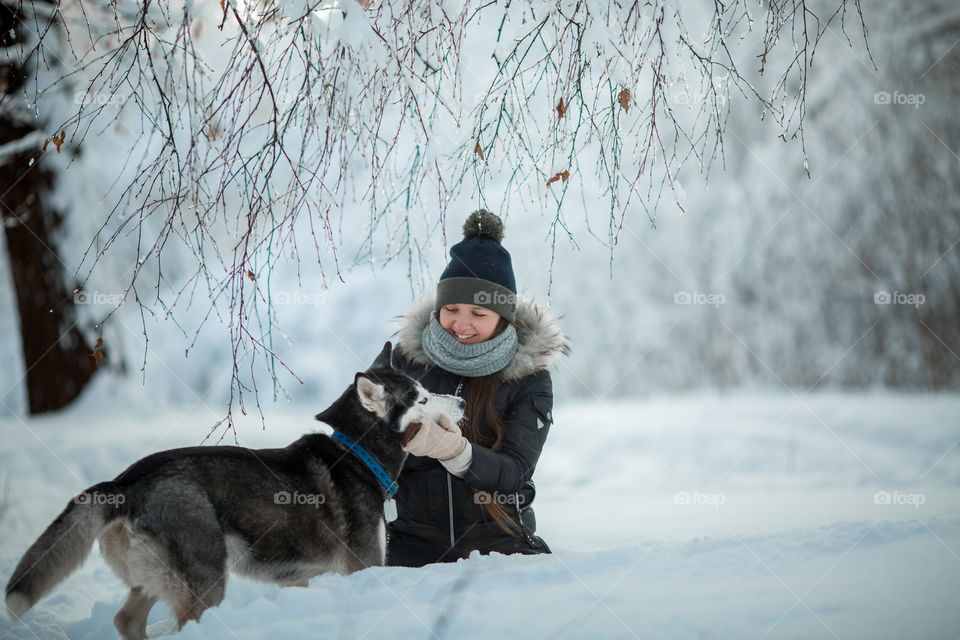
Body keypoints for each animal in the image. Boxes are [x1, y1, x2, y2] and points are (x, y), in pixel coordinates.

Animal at [3, 344, 462, 640]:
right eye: (422, 398)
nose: (459, 403)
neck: (358, 453)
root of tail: (127, 481)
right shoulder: (363, 567)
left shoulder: (302, 580)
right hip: (205, 582)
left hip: (153, 580)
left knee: (126, 621)